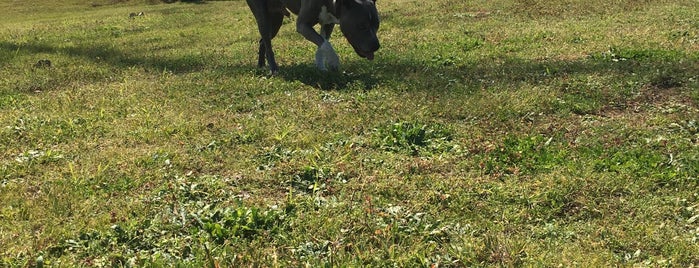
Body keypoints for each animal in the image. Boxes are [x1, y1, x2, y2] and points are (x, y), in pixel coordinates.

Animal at [245, 0, 378, 73]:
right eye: (361, 26)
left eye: (377, 25)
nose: (376, 46)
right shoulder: (302, 25)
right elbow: (325, 43)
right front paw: (334, 62)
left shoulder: (328, 23)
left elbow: (323, 43)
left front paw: (321, 67)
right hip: (263, 16)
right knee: (267, 43)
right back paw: (273, 69)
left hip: (276, 20)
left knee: (263, 41)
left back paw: (261, 65)